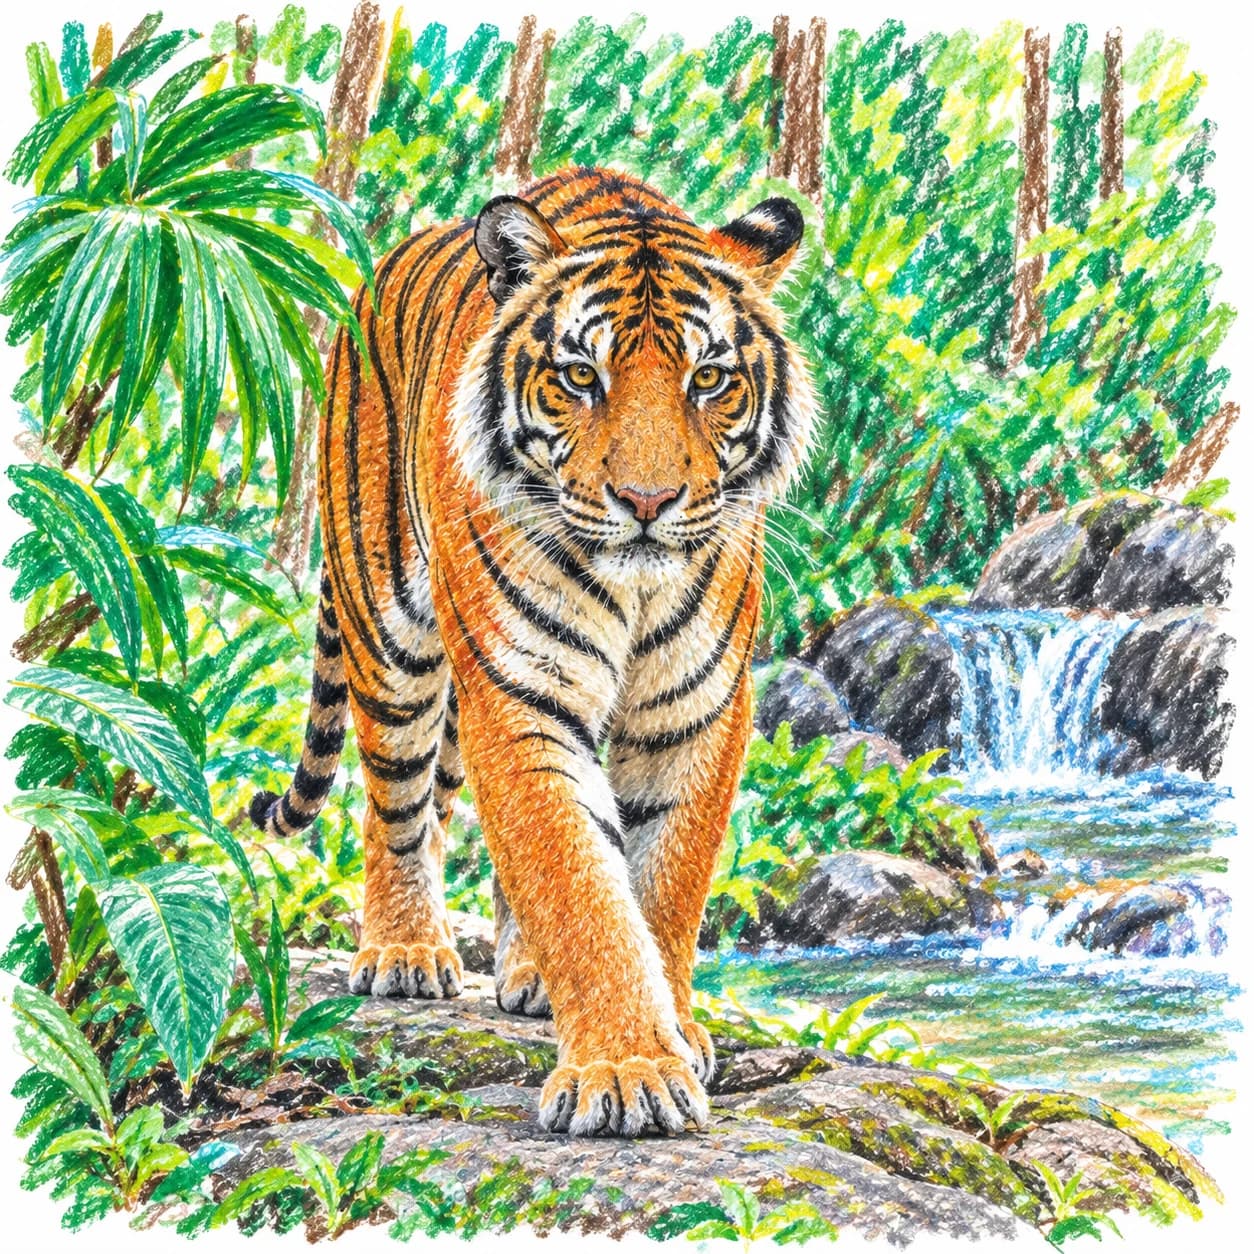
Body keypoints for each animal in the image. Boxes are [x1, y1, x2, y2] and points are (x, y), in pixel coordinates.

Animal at [250, 167, 816, 1137]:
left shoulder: (695, 709)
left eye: (709, 379)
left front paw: (669, 1031)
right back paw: (404, 951)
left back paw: (527, 979)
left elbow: (660, 885)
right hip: (392, 643)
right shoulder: (520, 696)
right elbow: (575, 879)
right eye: (581, 377)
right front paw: (627, 1071)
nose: (647, 501)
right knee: (397, 808)